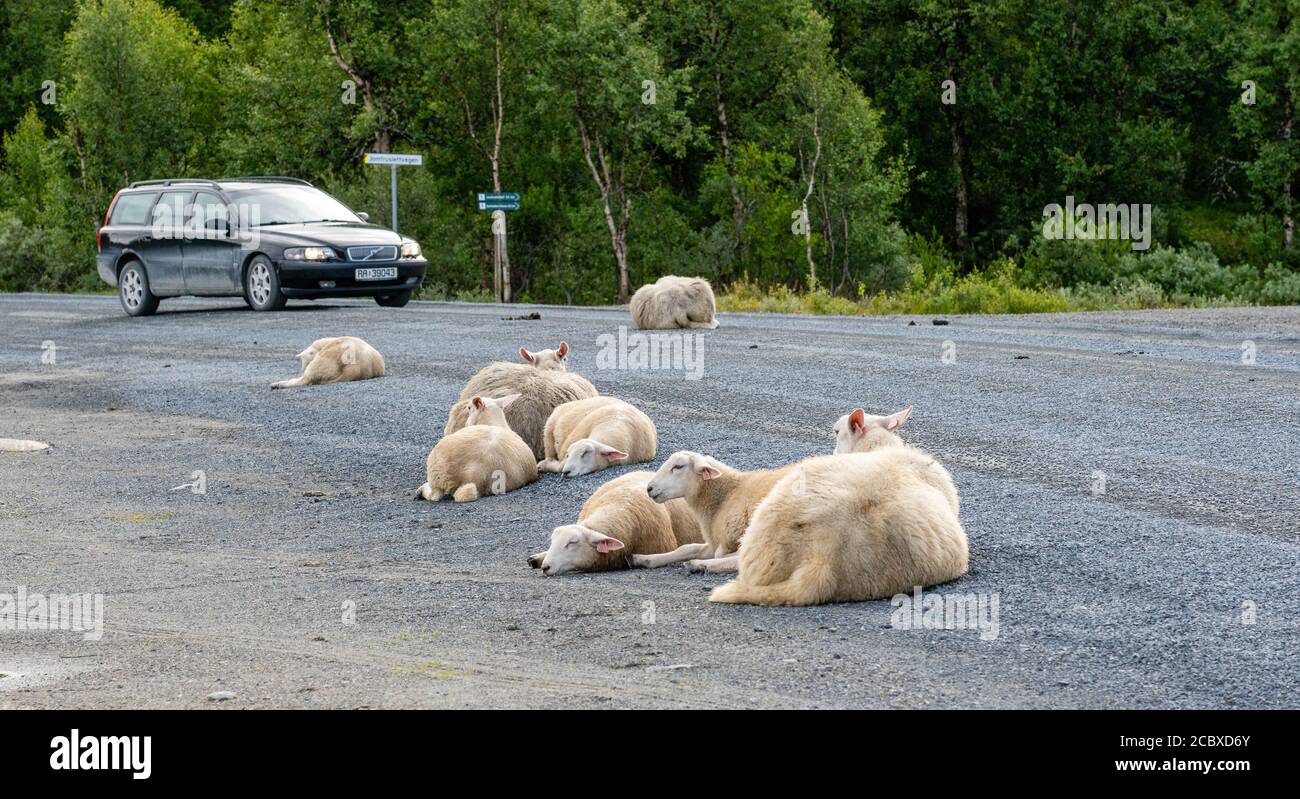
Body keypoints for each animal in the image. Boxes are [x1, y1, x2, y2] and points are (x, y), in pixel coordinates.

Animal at [626, 449, 790, 574]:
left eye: (678, 466)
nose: (649, 488)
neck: (726, 494)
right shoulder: (713, 542)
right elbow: (686, 548)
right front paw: (642, 558)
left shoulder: (729, 538)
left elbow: (724, 554)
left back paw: (699, 565)